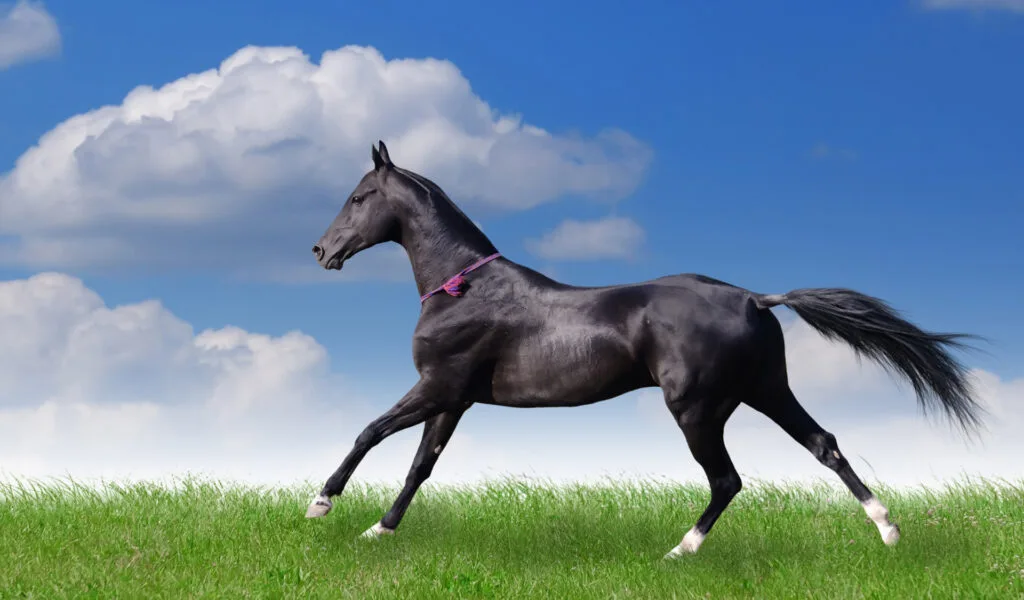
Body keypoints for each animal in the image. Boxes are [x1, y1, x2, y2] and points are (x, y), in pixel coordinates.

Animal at [306, 141, 984, 558]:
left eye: (359, 197)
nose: (321, 250)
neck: (463, 287)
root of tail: (755, 299)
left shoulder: (437, 386)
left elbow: (370, 432)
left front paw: (321, 503)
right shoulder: (454, 399)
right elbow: (421, 466)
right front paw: (378, 530)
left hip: (697, 409)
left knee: (728, 479)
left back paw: (680, 551)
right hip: (767, 391)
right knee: (825, 445)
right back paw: (888, 529)